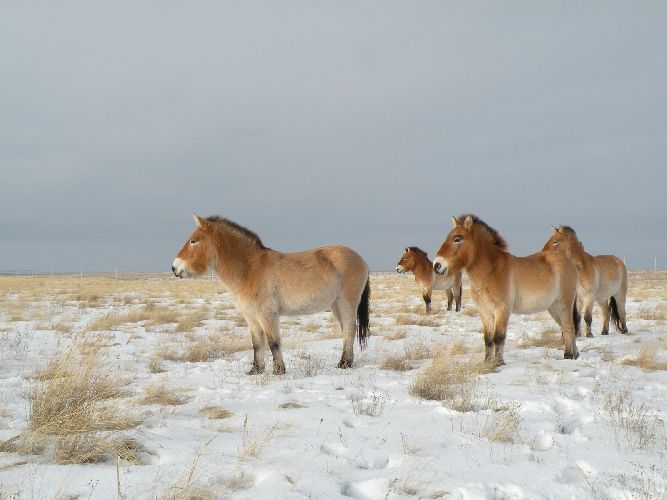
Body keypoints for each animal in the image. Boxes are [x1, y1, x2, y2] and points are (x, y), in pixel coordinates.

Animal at [172, 215, 370, 376]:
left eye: (193, 241)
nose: (174, 268)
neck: (249, 269)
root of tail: (360, 259)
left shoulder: (267, 315)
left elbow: (273, 342)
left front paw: (278, 370)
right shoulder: (250, 316)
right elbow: (257, 343)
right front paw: (255, 370)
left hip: (347, 303)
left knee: (349, 330)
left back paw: (344, 363)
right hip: (335, 305)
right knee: (346, 330)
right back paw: (347, 362)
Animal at [434, 214, 580, 364]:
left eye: (457, 239)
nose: (436, 265)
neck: (491, 272)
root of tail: (568, 262)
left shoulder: (502, 310)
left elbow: (498, 338)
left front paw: (498, 363)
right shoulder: (485, 312)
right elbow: (488, 339)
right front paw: (487, 362)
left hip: (564, 305)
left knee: (569, 327)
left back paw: (568, 355)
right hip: (553, 308)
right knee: (566, 327)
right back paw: (574, 355)